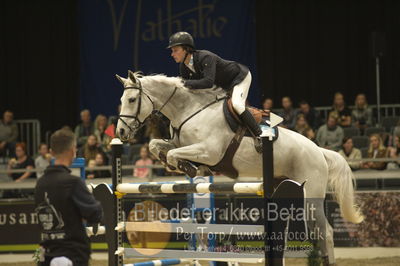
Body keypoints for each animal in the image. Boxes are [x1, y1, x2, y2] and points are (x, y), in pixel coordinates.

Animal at [115, 70, 362, 264]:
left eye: (132, 99)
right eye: (122, 99)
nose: (121, 132)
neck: (188, 111)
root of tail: (319, 151)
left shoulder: (209, 151)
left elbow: (175, 154)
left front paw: (186, 167)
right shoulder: (183, 144)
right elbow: (157, 145)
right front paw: (178, 164)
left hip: (311, 197)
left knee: (325, 232)